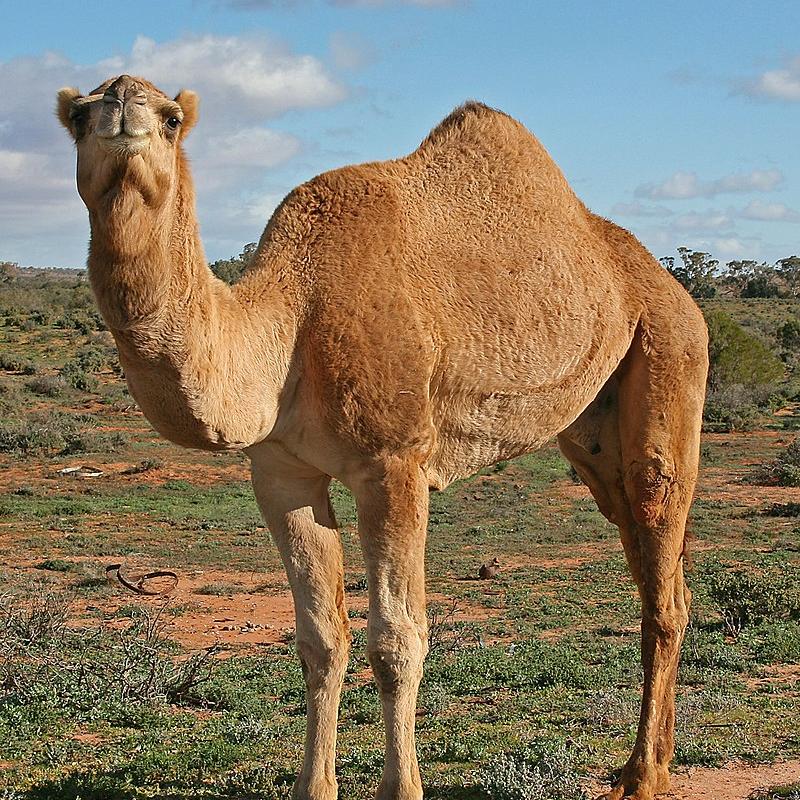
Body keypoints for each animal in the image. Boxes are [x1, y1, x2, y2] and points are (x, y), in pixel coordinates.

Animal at [57, 74, 708, 800]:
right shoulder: (281, 472)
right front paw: (312, 787)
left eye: (172, 118)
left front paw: (401, 786)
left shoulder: (393, 463)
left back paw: (643, 775)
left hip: (669, 352)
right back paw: (653, 760)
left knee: (661, 558)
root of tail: (672, 287)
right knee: (654, 564)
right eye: (78, 115)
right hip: (594, 432)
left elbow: (397, 640)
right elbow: (320, 638)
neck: (291, 321)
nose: (122, 108)